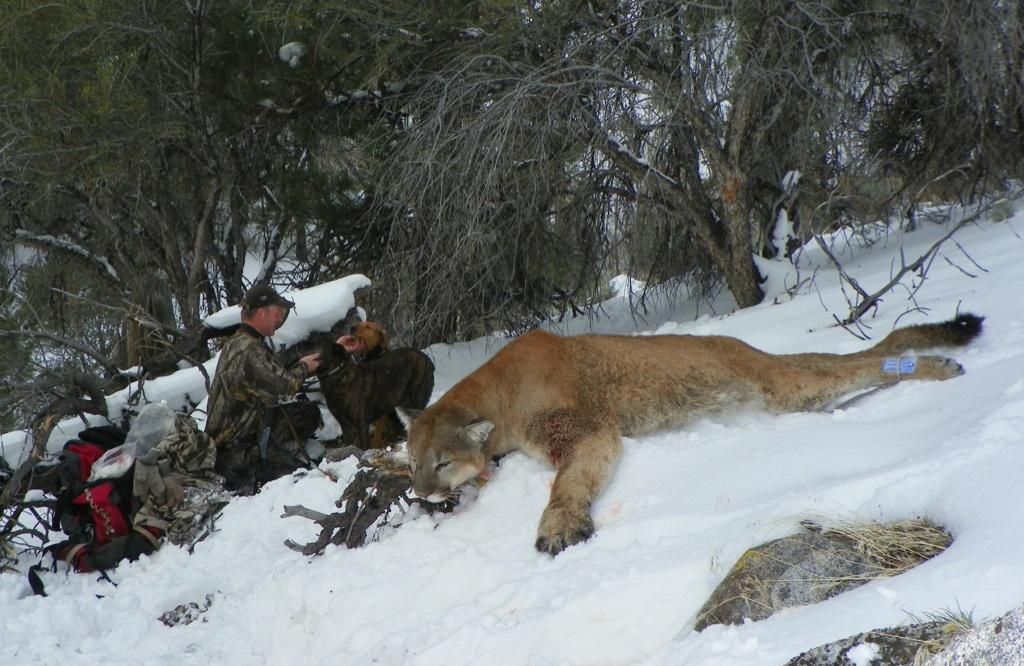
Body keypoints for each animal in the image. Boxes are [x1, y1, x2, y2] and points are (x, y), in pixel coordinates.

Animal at [395, 313, 978, 553]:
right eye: (413, 463)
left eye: (441, 461)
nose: (421, 493)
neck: (499, 394)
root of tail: (745, 345)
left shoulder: (587, 432)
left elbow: (566, 484)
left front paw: (560, 527)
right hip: (787, 393)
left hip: (783, 388)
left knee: (866, 366)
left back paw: (939, 367)